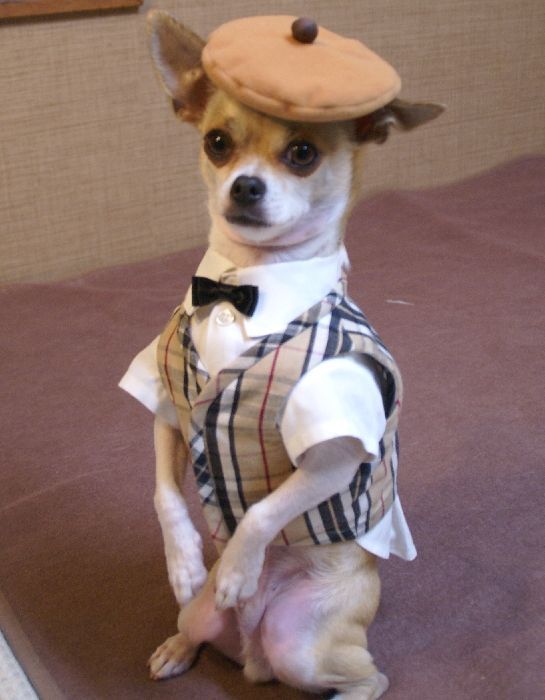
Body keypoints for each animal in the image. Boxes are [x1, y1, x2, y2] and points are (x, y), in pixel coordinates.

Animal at [131, 12, 442, 700]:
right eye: (217, 142)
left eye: (303, 154)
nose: (245, 184)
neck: (244, 286)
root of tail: (256, 658)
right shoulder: (168, 409)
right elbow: (166, 494)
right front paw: (185, 561)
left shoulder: (333, 456)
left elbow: (263, 511)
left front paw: (236, 569)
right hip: (208, 622)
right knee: (198, 624)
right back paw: (177, 645)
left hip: (304, 644)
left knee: (371, 675)